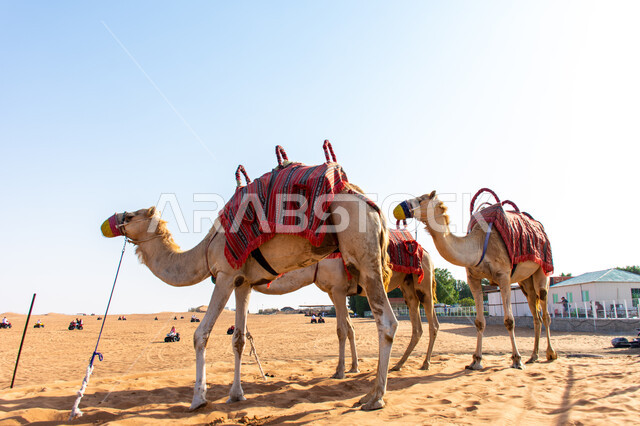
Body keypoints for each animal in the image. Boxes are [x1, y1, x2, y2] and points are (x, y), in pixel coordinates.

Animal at [101, 191, 397, 410]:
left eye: (130, 215)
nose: (108, 222)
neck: (206, 251)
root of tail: (373, 209)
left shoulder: (225, 275)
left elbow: (200, 334)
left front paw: (199, 399)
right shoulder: (243, 283)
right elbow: (239, 339)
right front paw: (236, 394)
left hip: (361, 263)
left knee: (385, 322)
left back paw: (374, 397)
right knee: (361, 325)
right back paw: (362, 382)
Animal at [253, 249, 438, 377]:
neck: (315, 265)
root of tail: (427, 253)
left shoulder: (338, 289)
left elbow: (341, 330)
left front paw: (339, 371)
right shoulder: (332, 292)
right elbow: (350, 328)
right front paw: (354, 367)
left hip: (424, 282)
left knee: (433, 322)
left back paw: (425, 363)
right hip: (407, 284)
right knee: (416, 324)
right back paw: (398, 365)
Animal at [393, 191, 557, 370]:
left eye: (421, 199)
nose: (399, 207)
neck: (477, 245)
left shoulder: (503, 276)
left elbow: (509, 320)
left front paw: (517, 359)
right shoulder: (473, 278)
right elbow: (479, 322)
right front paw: (476, 361)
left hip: (543, 269)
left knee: (545, 309)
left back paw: (550, 354)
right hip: (525, 281)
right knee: (535, 312)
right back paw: (533, 356)